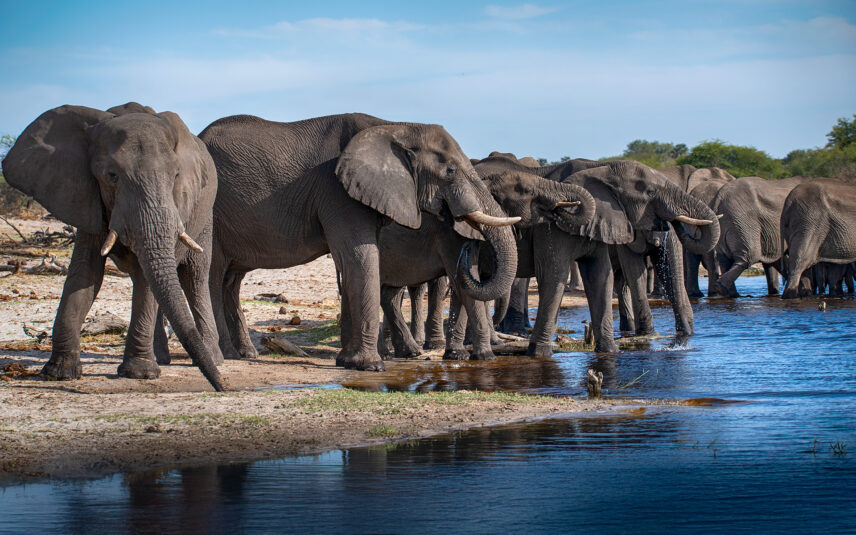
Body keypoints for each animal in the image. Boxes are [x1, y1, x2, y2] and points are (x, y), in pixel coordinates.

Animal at [1, 104, 224, 391]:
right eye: (112, 176)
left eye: (175, 176)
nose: (223, 388)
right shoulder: (85, 196)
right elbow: (86, 274)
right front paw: (59, 372)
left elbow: (146, 278)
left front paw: (139, 373)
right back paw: (164, 360)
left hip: (204, 215)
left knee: (193, 277)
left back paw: (212, 359)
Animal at [200, 113, 520, 371]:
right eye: (450, 170)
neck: (396, 126)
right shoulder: (337, 190)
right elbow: (360, 257)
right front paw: (371, 366)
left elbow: (353, 260)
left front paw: (347, 362)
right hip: (212, 213)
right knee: (212, 275)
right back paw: (226, 355)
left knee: (231, 280)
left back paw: (244, 353)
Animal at [377, 169, 595, 361]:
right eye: (525, 190)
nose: (467, 250)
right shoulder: (449, 234)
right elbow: (463, 284)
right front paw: (486, 357)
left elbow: (463, 286)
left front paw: (458, 355)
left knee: (390, 294)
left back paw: (407, 353)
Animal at [475, 157, 720, 355]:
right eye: (649, 193)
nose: (683, 339)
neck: (602, 169)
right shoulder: (551, 230)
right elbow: (554, 276)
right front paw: (540, 354)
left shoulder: (601, 223)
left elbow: (600, 275)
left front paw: (610, 351)